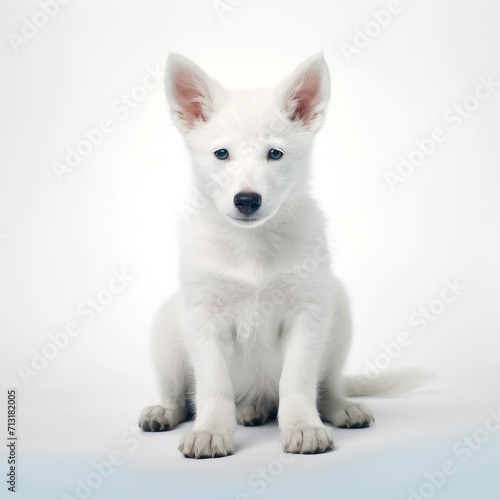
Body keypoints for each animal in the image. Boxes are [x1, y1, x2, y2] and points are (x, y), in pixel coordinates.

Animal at [139, 53, 424, 458]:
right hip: (166, 326)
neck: (251, 243)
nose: (247, 200)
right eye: (221, 154)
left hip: (338, 308)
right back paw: (168, 409)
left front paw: (303, 427)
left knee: (327, 385)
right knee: (179, 393)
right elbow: (213, 385)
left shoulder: (308, 313)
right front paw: (210, 431)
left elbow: (298, 381)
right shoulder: (203, 317)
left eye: (274, 154)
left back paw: (337, 407)